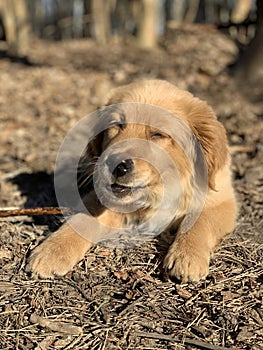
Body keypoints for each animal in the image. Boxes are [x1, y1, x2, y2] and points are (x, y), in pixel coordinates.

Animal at [29, 79, 239, 282]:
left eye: (157, 134)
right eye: (117, 125)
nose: (116, 164)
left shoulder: (220, 200)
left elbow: (199, 222)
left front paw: (187, 256)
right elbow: (83, 219)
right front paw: (53, 251)